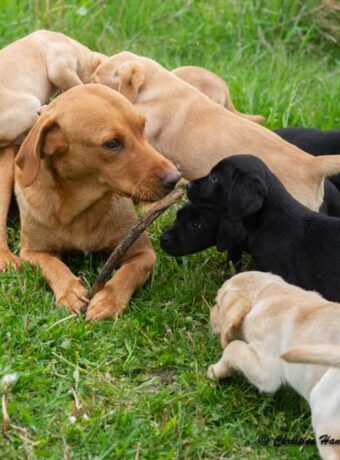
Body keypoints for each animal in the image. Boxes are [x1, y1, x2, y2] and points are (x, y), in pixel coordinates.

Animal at [14, 83, 181, 320]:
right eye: (112, 143)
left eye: (143, 127)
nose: (174, 178)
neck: (79, 209)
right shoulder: (31, 253)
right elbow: (52, 265)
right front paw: (70, 291)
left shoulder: (144, 254)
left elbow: (129, 271)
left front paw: (109, 300)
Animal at [207, 272, 340, 460]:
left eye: (218, 305)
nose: (209, 314)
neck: (268, 295)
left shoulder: (266, 370)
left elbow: (234, 347)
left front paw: (215, 371)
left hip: (324, 403)